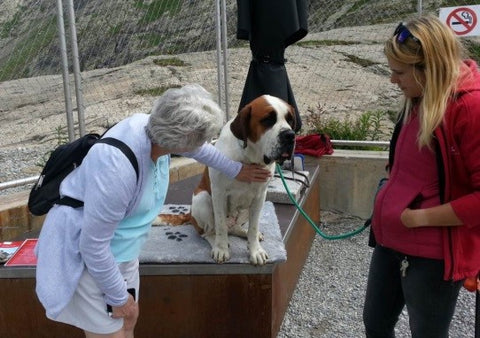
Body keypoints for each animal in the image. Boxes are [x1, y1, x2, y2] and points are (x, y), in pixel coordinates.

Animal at [190, 94, 296, 264]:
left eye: (290, 119)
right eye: (268, 119)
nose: (290, 135)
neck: (249, 157)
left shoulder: (260, 196)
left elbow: (254, 226)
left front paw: (255, 250)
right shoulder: (218, 194)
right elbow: (220, 225)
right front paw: (221, 249)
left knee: (235, 228)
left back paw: (246, 233)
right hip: (202, 198)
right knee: (208, 232)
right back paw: (217, 242)